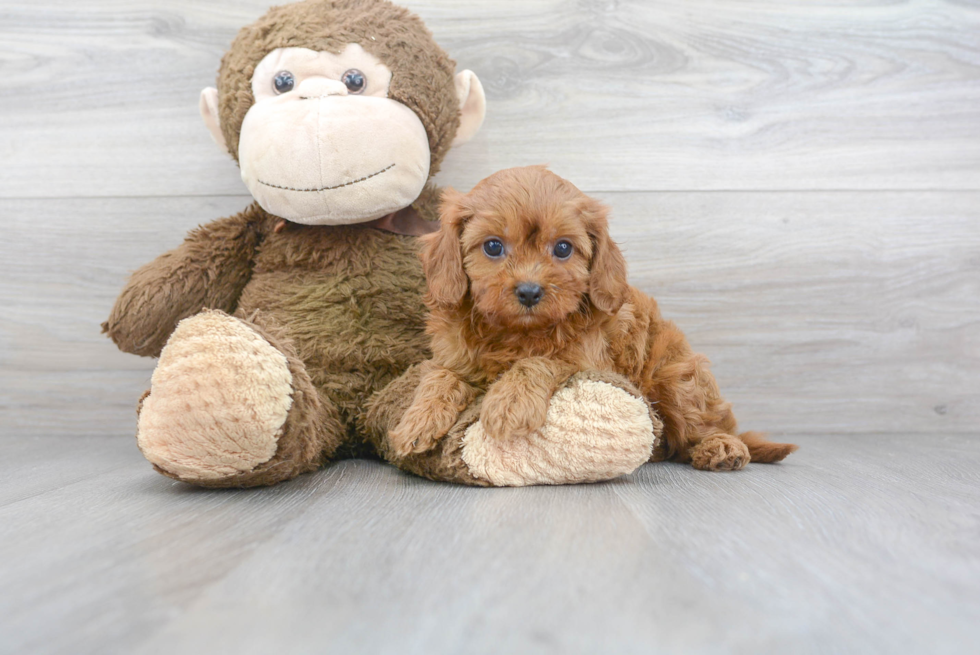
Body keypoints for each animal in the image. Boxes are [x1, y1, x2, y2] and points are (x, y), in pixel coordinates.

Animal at [390, 165, 796, 472]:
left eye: (563, 248)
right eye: (492, 246)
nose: (529, 291)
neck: (515, 333)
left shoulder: (584, 359)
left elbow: (537, 362)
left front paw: (508, 404)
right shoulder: (453, 356)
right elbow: (441, 376)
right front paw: (416, 421)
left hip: (678, 381)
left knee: (709, 425)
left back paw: (723, 448)